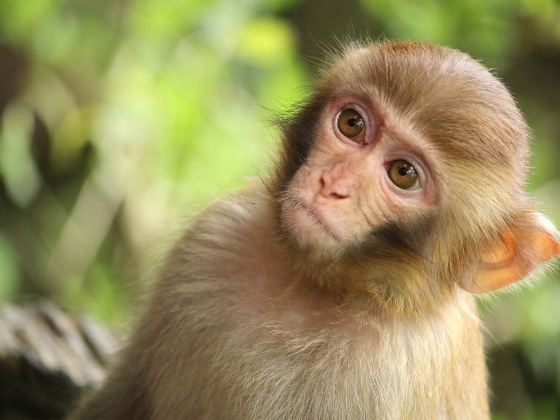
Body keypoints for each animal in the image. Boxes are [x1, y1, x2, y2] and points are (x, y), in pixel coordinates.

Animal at [71, 41, 560, 420]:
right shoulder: (212, 237)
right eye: (352, 123)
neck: (314, 286)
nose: (332, 184)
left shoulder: (389, 374)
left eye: (403, 174)